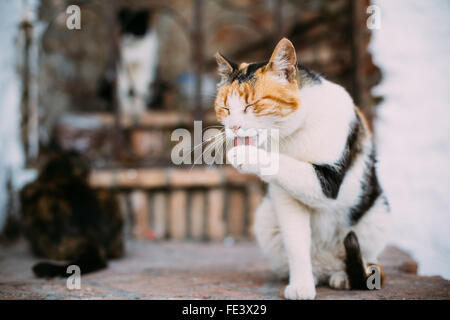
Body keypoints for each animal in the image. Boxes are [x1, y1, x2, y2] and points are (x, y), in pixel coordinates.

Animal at [214, 38, 390, 298]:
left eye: (253, 105)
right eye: (225, 108)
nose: (234, 127)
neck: (292, 134)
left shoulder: (328, 183)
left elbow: (286, 164)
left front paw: (244, 154)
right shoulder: (285, 198)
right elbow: (297, 243)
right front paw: (301, 285)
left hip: (377, 216)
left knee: (360, 257)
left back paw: (343, 277)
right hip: (265, 218)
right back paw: (315, 274)